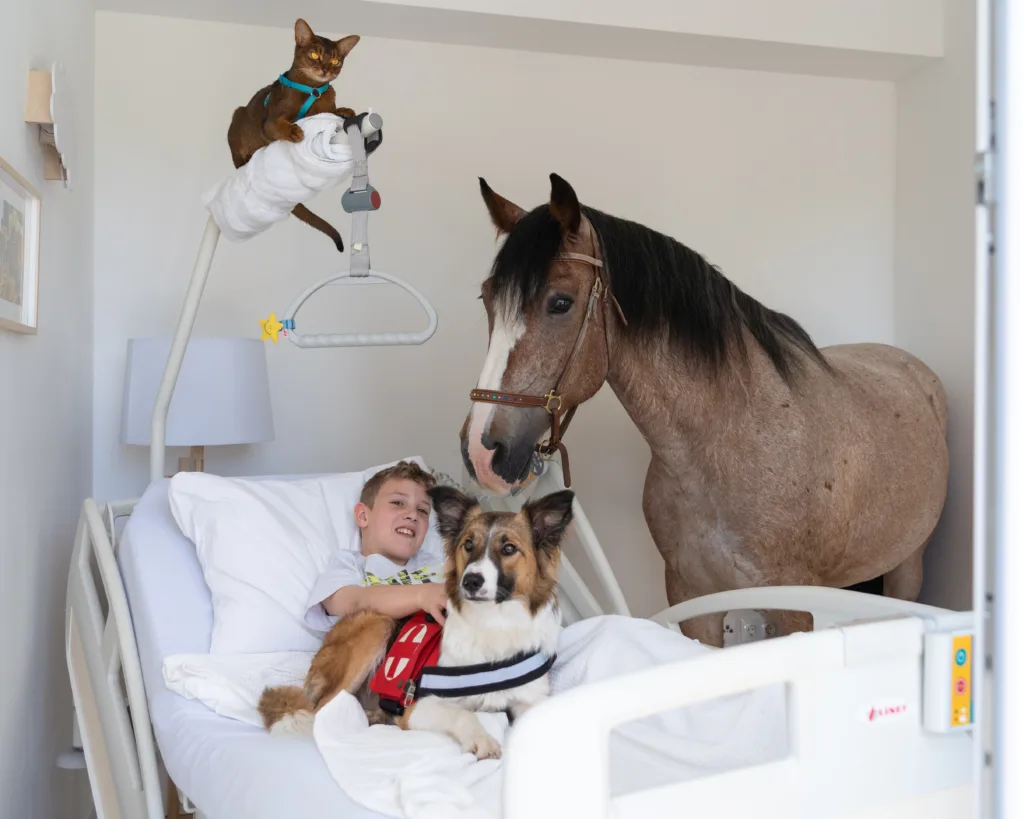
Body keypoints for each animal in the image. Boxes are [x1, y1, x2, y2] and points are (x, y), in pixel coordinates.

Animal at [258, 484, 574, 759]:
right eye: (468, 545)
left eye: (508, 549)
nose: (470, 581)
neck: (494, 623)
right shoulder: (418, 707)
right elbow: (462, 713)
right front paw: (481, 739)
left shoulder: (528, 701)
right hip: (377, 624)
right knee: (324, 709)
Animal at [459, 173, 949, 647]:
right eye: (486, 298)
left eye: (560, 302)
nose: (480, 452)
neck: (727, 447)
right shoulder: (693, 600)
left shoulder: (795, 609)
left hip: (909, 565)